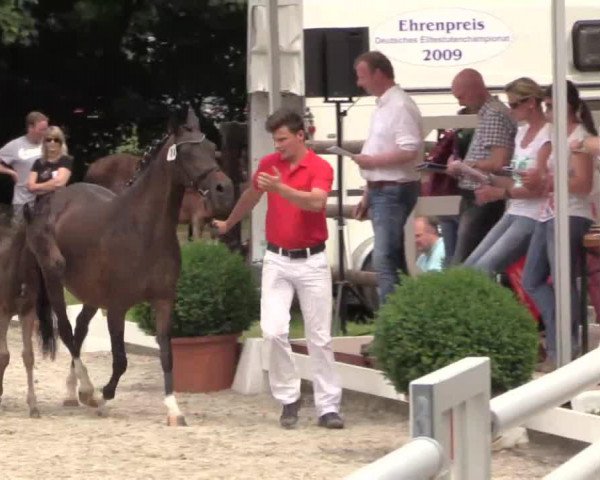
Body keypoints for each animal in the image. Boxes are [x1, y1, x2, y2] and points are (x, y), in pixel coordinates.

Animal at [21, 108, 232, 424]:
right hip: (54, 281)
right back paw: (87, 390)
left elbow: (167, 354)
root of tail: (52, 200)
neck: (144, 230)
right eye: (187, 152)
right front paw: (105, 398)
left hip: (91, 294)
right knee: (68, 332)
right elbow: (120, 359)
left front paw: (173, 409)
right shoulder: (118, 307)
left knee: (80, 329)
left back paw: (73, 391)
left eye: (211, 149)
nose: (224, 191)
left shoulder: (163, 300)